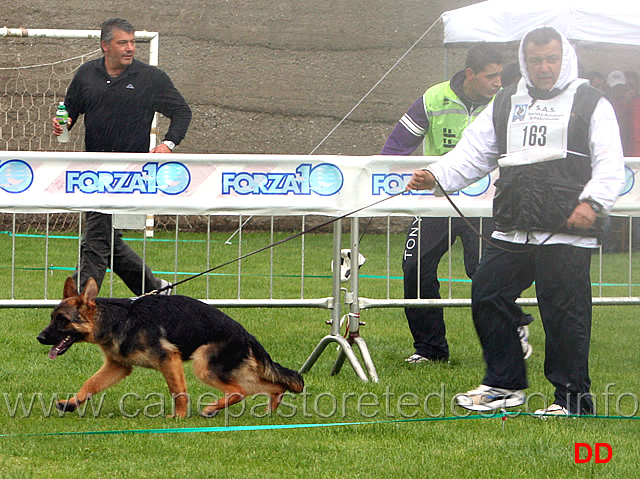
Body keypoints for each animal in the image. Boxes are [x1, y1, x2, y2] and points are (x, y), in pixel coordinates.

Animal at [36, 280, 304, 418]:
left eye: (62, 320)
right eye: (51, 317)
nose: (39, 337)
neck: (117, 319)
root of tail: (246, 334)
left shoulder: (169, 359)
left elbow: (178, 391)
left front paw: (179, 417)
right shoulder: (118, 366)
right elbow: (89, 384)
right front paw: (71, 403)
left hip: (204, 365)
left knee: (239, 391)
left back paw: (211, 408)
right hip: (229, 369)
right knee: (272, 387)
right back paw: (269, 411)